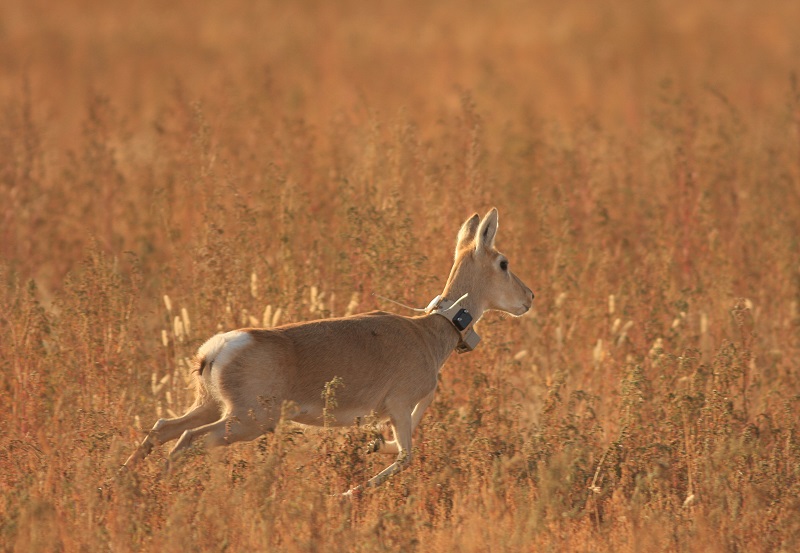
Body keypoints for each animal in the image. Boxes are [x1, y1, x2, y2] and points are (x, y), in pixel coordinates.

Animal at [124, 208, 534, 494]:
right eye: (503, 262)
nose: (529, 297)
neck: (429, 332)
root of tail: (217, 349)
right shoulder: (401, 408)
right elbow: (405, 457)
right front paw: (344, 495)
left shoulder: (400, 411)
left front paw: (372, 446)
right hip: (247, 421)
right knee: (187, 440)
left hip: (211, 406)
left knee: (162, 428)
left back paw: (122, 483)